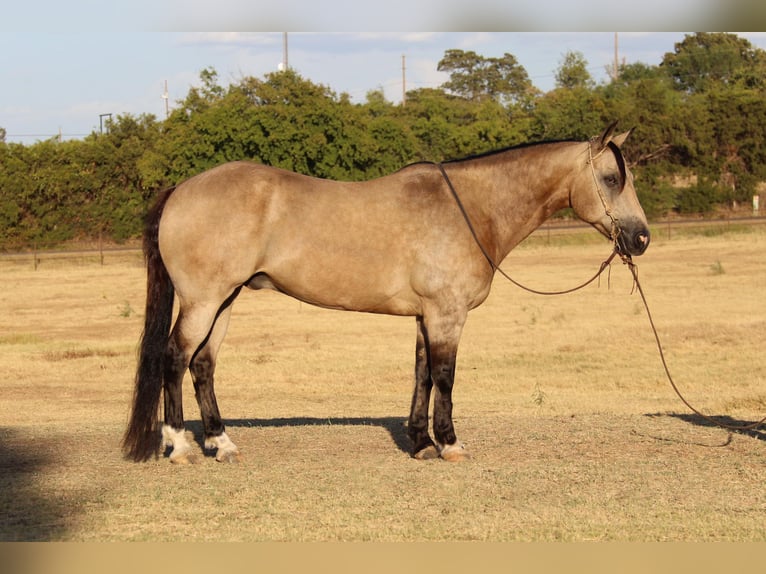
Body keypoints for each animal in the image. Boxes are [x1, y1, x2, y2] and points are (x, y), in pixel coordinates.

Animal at [123, 124, 652, 466]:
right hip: (203, 301)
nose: (641, 238)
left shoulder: (426, 316)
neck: (468, 208)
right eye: (611, 179)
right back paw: (180, 447)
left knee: (203, 365)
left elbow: (422, 374)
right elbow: (445, 376)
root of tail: (181, 189)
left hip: (225, 300)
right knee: (174, 358)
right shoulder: (447, 314)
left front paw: (419, 443)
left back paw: (222, 444)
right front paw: (450, 444)